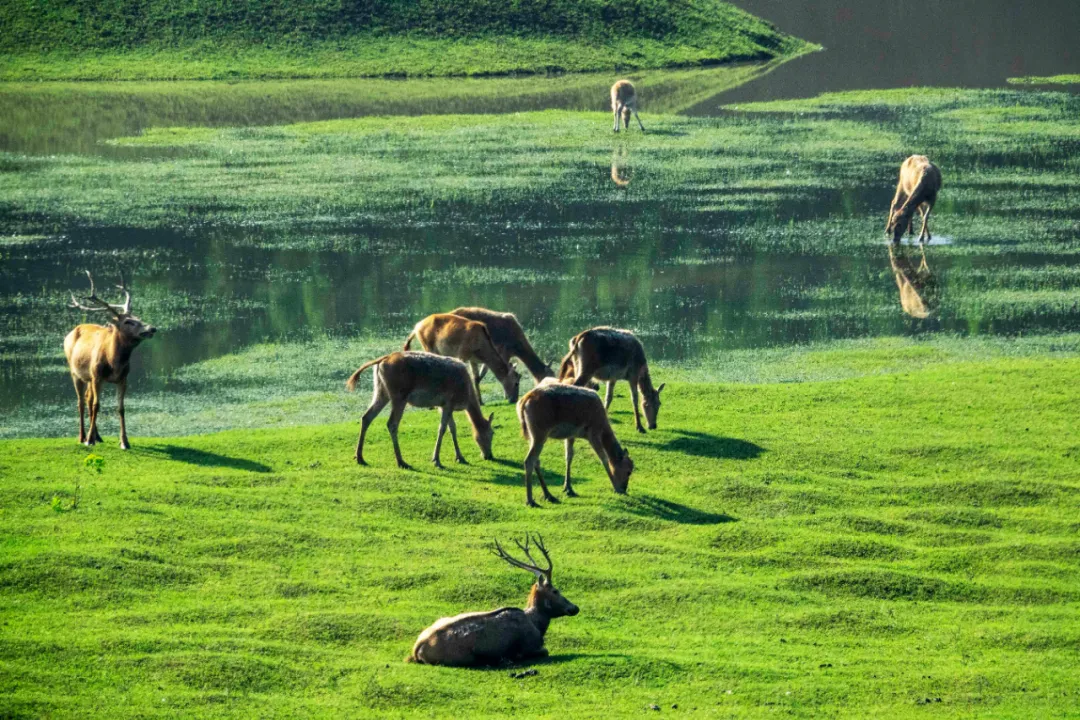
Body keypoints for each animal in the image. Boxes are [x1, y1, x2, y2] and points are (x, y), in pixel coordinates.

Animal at [63, 272, 157, 446]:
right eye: (128, 321)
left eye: (138, 317)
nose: (152, 328)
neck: (114, 363)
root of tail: (70, 333)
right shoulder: (97, 376)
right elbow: (97, 405)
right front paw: (89, 441)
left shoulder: (123, 378)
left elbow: (121, 408)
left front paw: (124, 442)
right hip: (75, 372)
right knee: (81, 402)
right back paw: (82, 437)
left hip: (89, 377)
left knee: (87, 398)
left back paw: (97, 436)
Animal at [343, 351, 494, 470]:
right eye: (492, 433)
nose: (489, 456)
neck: (466, 398)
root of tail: (382, 360)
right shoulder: (449, 402)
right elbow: (442, 428)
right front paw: (436, 460)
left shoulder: (443, 405)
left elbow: (452, 428)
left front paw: (460, 457)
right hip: (399, 395)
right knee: (392, 423)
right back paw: (401, 461)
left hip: (381, 390)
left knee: (366, 417)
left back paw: (360, 457)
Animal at [406, 533, 578, 669]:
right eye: (555, 591)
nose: (575, 608)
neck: (537, 624)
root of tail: (416, 650)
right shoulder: (530, 646)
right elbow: (543, 651)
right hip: (462, 658)